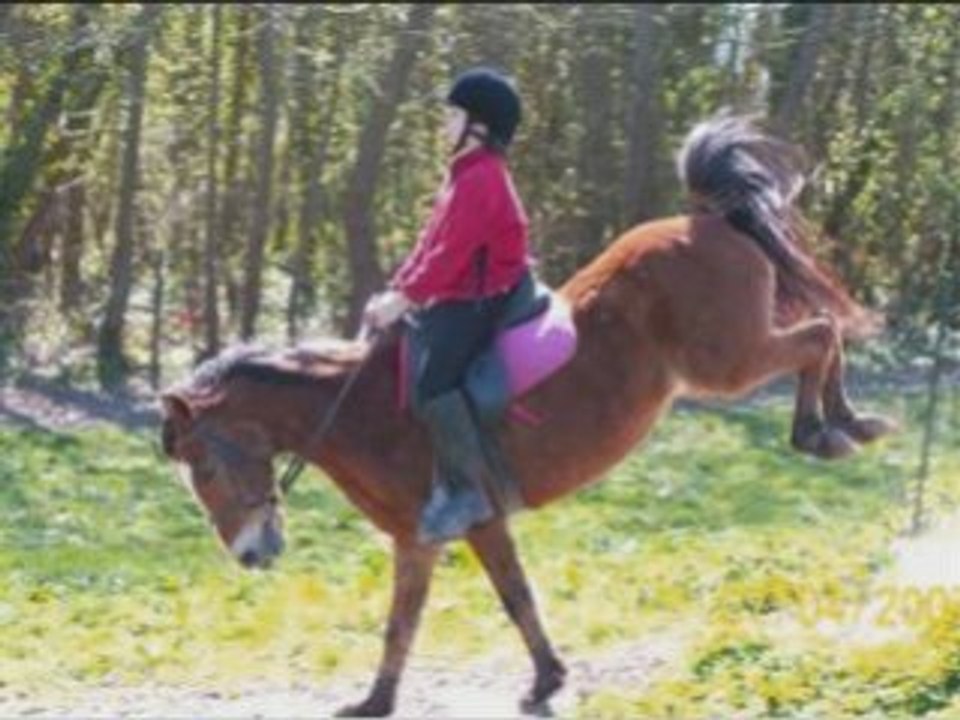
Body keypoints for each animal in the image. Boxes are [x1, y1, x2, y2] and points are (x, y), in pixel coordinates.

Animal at [159, 114, 896, 716]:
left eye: (205, 468)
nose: (250, 556)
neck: (355, 411)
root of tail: (707, 221)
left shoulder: (470, 521)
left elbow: (507, 600)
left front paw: (541, 681)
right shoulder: (418, 541)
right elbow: (415, 620)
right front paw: (382, 700)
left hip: (727, 361)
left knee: (820, 333)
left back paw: (833, 429)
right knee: (821, 335)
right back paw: (847, 424)